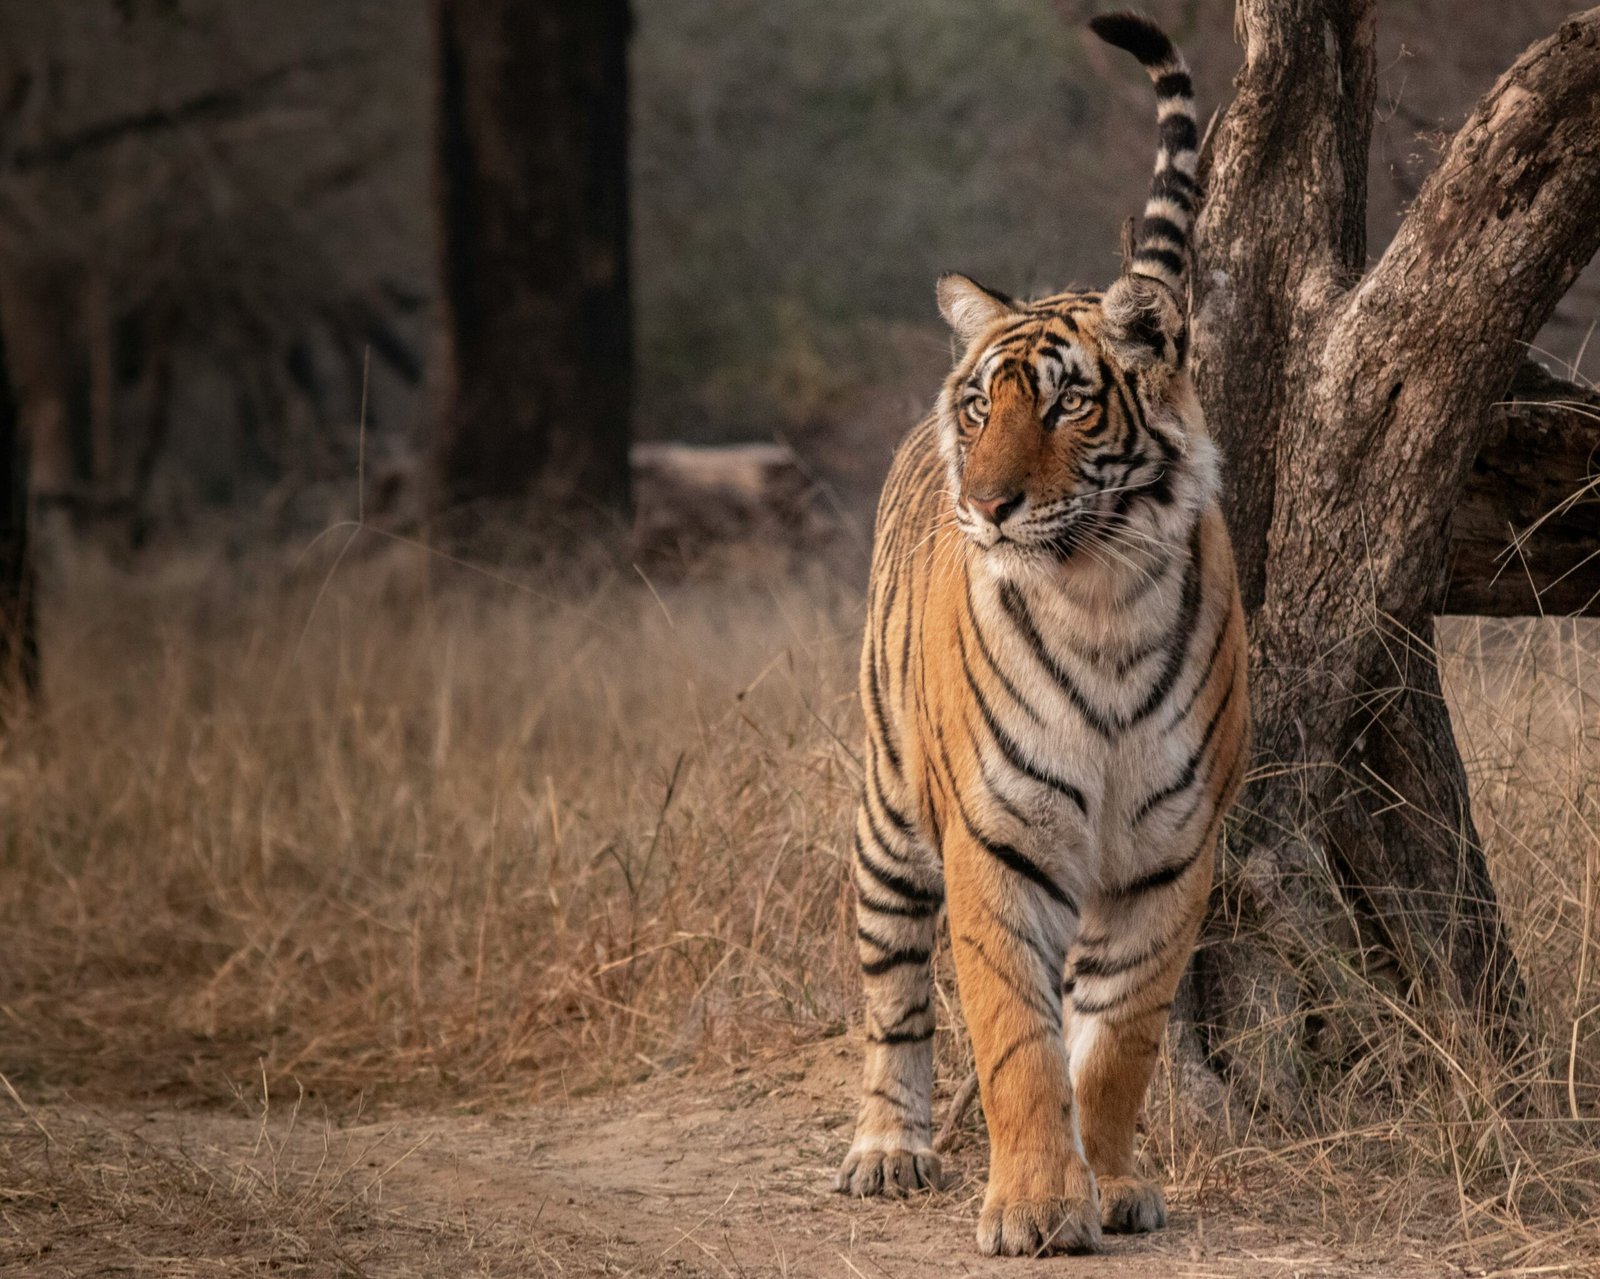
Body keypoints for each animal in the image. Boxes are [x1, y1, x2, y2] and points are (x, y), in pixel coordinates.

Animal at [831, 11, 1249, 1258]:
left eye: (1068, 401)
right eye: (981, 403)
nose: (987, 502)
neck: (1098, 593)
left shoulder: (1167, 851)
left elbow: (1112, 1042)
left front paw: (1105, 1184)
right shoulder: (995, 839)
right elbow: (1014, 1037)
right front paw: (1029, 1207)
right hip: (888, 811)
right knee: (891, 996)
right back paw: (886, 1149)